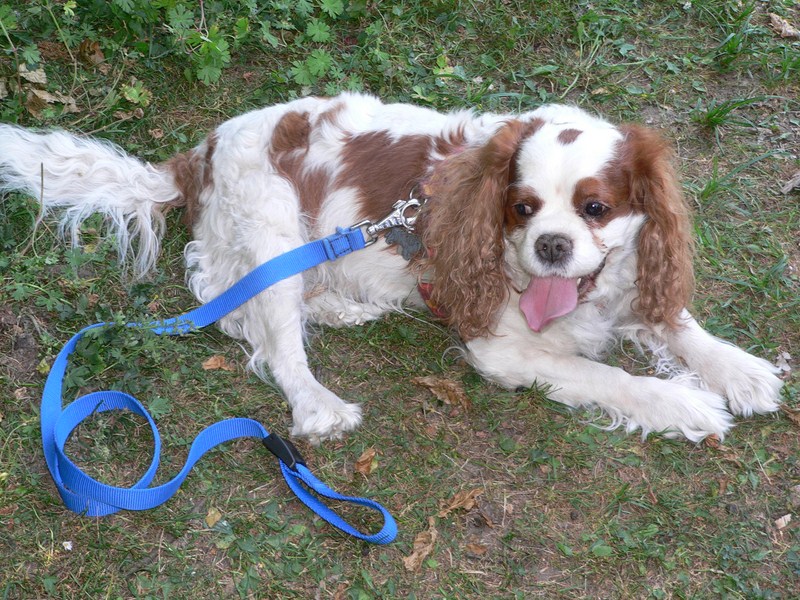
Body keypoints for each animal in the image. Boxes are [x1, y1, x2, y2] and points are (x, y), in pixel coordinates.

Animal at [0, 92, 783, 443]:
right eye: (522, 208)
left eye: (595, 208)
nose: (552, 247)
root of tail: (201, 152)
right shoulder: (499, 347)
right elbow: (608, 376)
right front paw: (684, 404)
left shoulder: (635, 278)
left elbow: (677, 321)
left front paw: (740, 370)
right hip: (272, 227)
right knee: (266, 336)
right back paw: (319, 406)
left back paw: (343, 306)